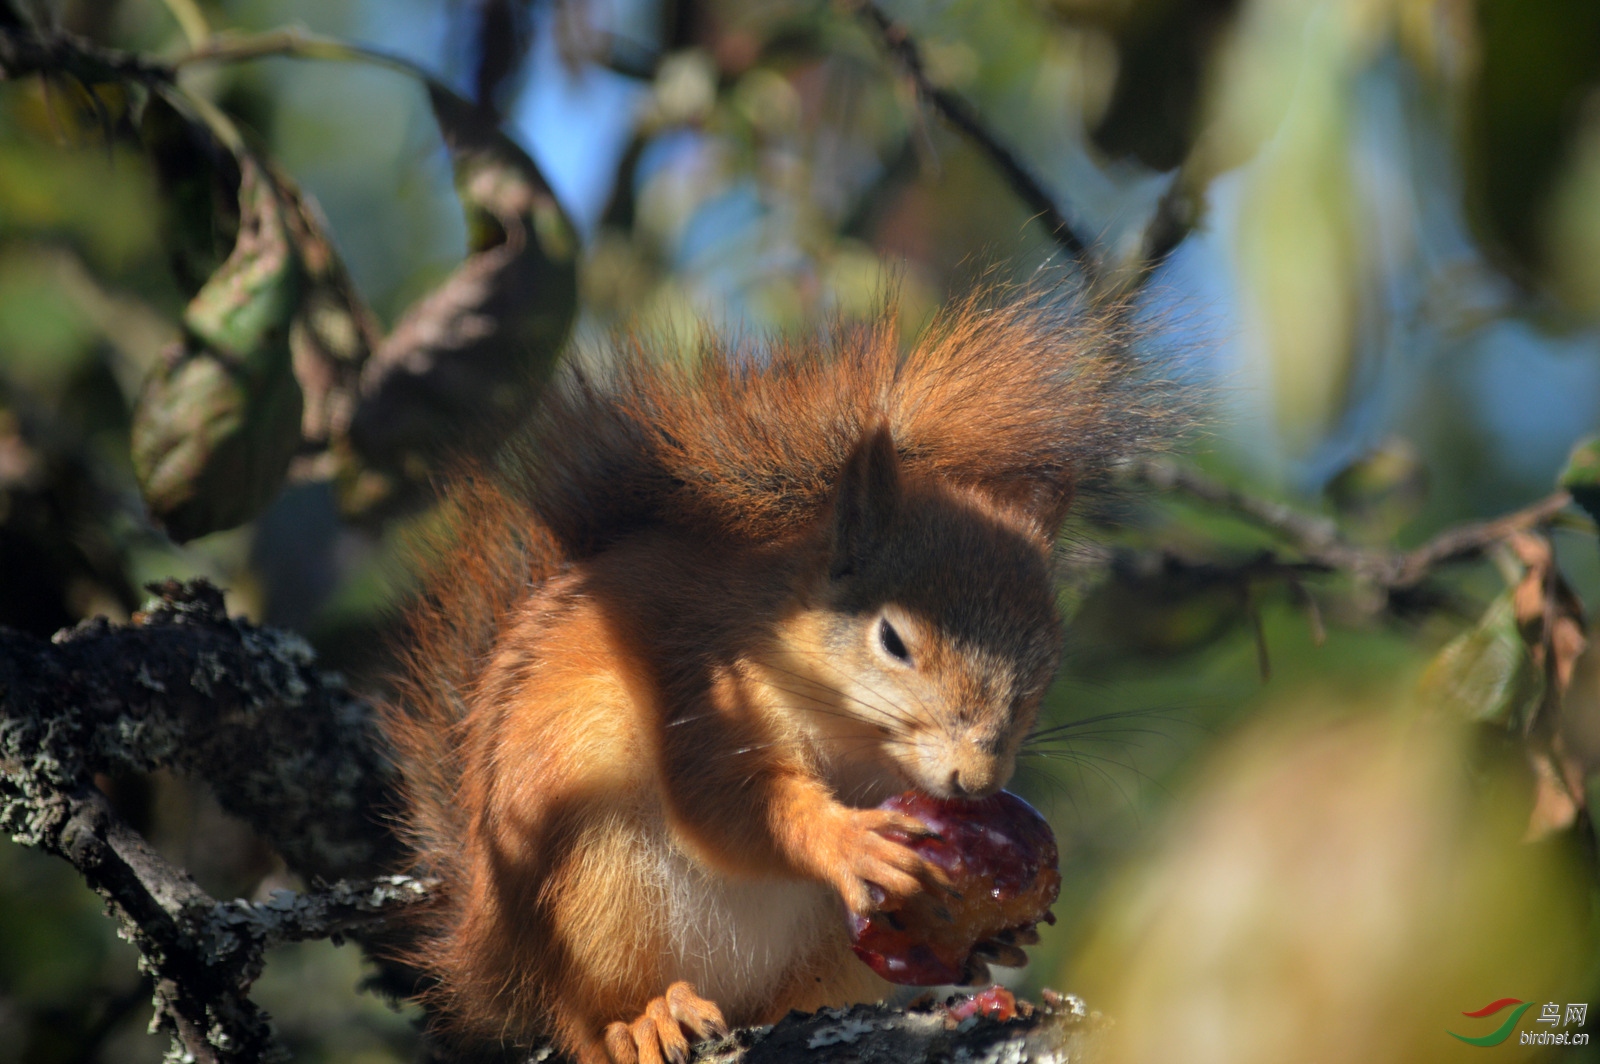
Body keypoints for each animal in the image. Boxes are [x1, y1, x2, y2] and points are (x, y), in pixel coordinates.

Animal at [384, 288, 1164, 1062]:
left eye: (1046, 662)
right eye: (892, 639)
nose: (975, 780)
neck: (855, 745)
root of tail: (489, 960)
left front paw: (1007, 934)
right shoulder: (701, 686)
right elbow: (729, 808)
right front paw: (847, 840)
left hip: (825, 951)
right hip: (591, 861)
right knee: (582, 1016)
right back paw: (643, 1020)